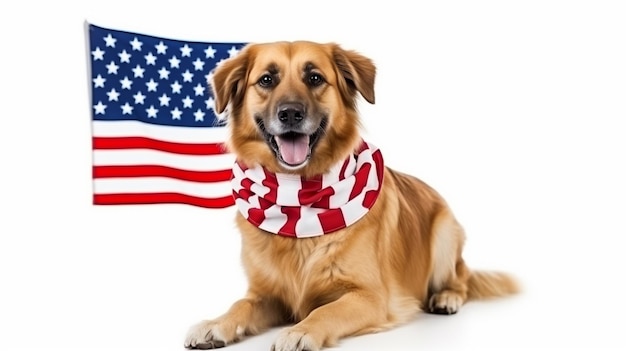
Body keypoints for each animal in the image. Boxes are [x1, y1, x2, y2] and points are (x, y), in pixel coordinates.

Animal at [184, 42, 516, 351]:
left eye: (315, 78)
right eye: (266, 80)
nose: (290, 113)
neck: (299, 200)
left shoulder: (370, 296)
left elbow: (325, 311)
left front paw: (299, 331)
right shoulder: (267, 294)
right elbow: (241, 304)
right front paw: (215, 324)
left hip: (445, 234)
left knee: (461, 280)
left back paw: (446, 298)